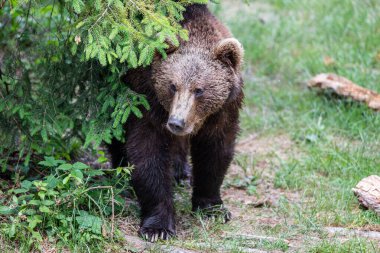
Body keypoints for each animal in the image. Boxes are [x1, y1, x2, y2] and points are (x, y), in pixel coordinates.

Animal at [107, 3, 243, 241]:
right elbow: (148, 154)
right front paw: (158, 227)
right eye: (172, 86)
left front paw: (213, 208)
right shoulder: (146, 98)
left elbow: (215, 152)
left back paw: (181, 170)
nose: (176, 123)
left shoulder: (223, 110)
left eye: (199, 90)